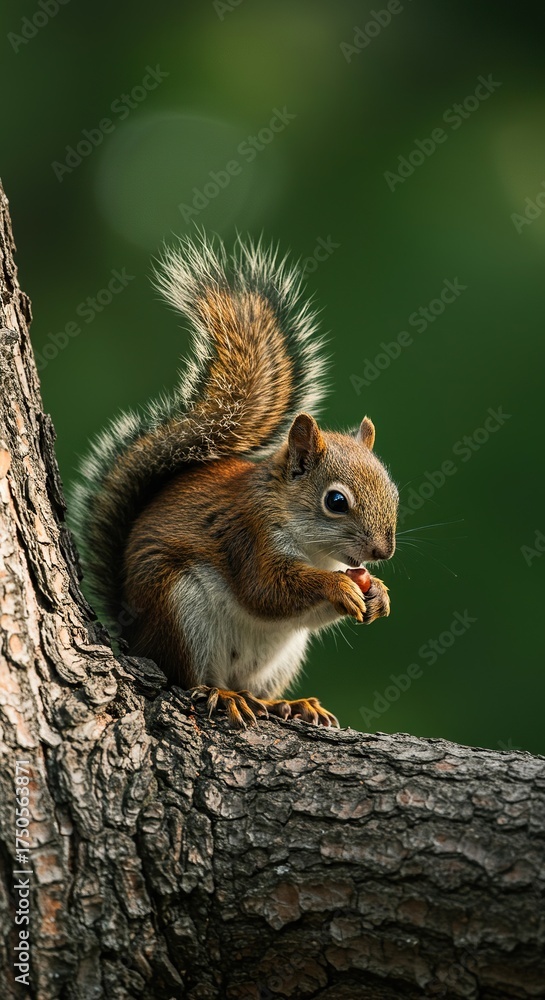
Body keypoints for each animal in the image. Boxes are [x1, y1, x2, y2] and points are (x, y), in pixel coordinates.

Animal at [71, 234, 398, 728]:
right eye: (336, 501)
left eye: (394, 493)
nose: (382, 553)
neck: (315, 551)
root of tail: (135, 637)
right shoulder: (249, 534)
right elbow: (267, 590)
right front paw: (338, 586)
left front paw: (378, 594)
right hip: (180, 610)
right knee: (185, 678)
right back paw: (221, 694)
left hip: (280, 656)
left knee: (258, 689)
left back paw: (288, 703)